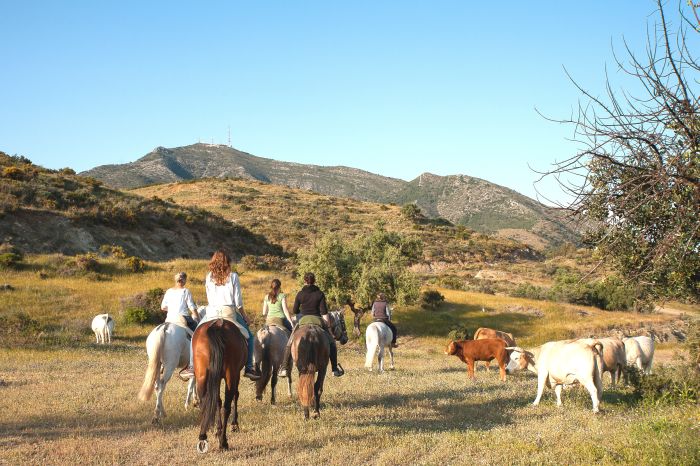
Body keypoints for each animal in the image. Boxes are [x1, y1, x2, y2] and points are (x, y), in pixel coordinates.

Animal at [191, 318, 246, 454]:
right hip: (231, 375)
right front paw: (233, 425)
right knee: (227, 406)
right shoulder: (236, 374)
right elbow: (234, 396)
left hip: (202, 375)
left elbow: (216, 401)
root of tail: (217, 325)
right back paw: (223, 442)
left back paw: (203, 437)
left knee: (204, 403)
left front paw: (217, 430)